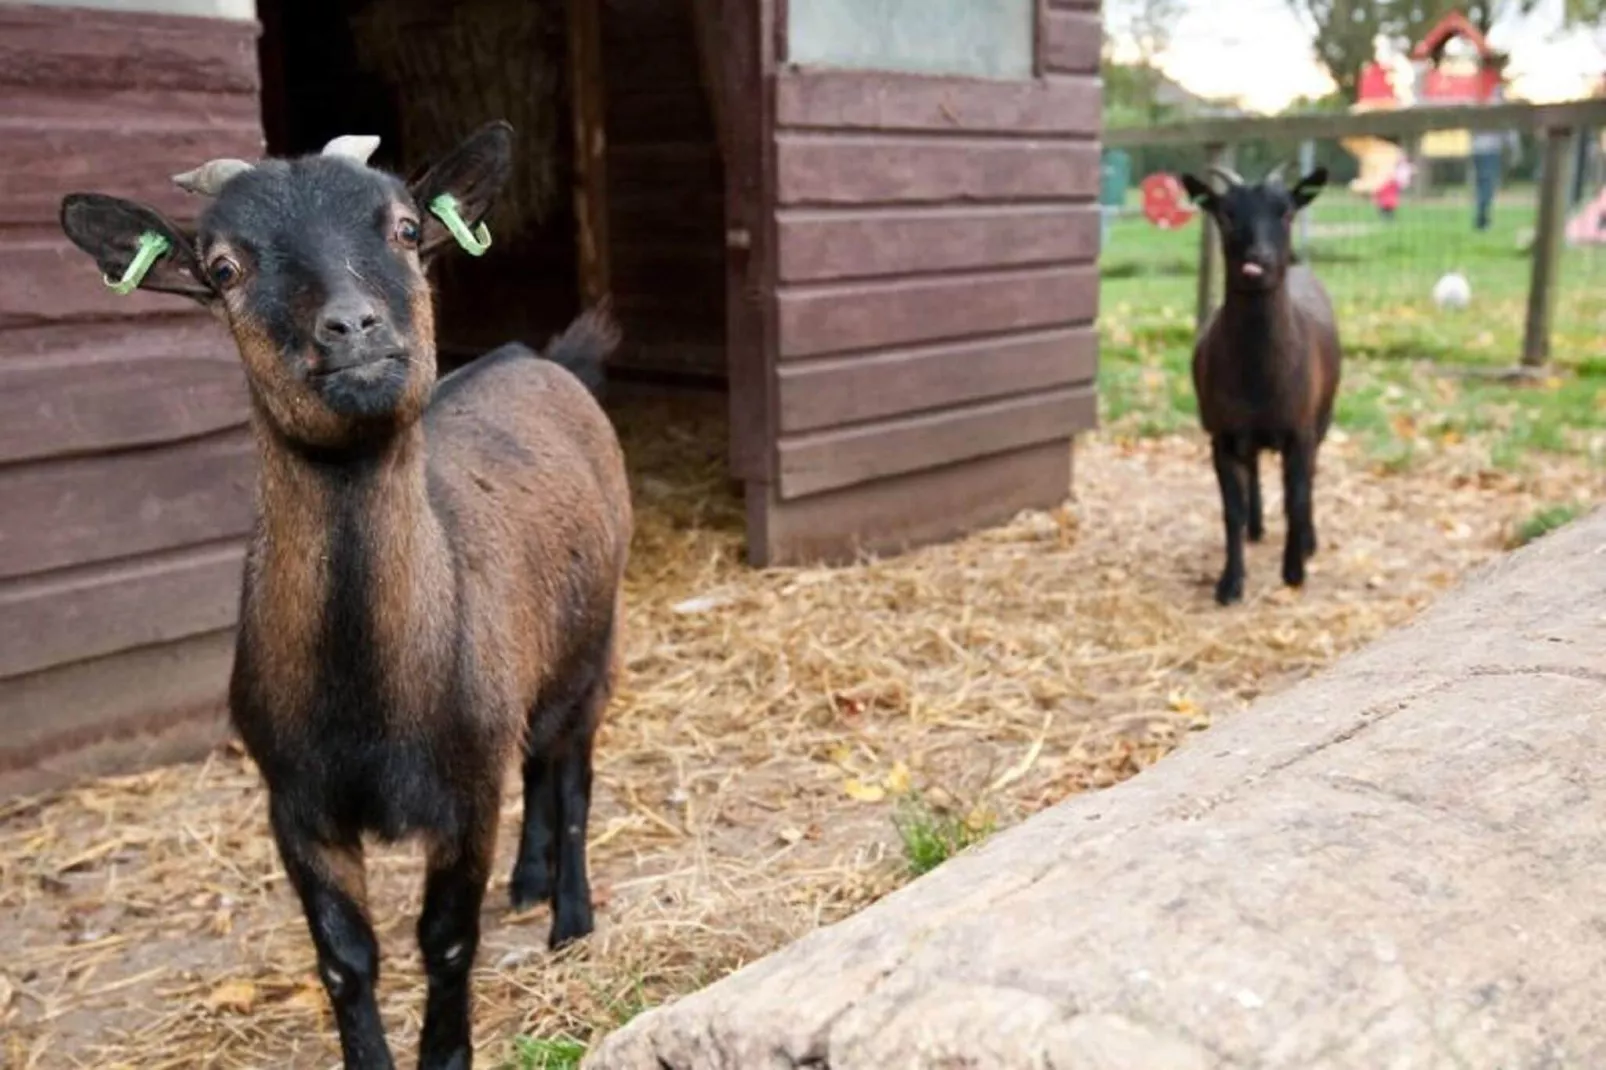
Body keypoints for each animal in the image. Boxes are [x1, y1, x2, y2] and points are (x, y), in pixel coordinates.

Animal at [1182, 163, 1342, 604]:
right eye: (1225, 214)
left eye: (1285, 212)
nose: (1259, 263)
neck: (1258, 379)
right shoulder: (1221, 435)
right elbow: (1230, 510)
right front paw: (1230, 583)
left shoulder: (1300, 431)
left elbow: (1296, 498)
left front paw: (1294, 571)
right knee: (1253, 469)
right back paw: (1255, 528)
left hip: (1323, 416)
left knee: (1310, 478)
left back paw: (1308, 540)